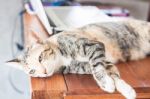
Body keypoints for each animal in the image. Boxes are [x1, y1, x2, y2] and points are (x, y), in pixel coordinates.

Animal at [6, 19, 150, 98]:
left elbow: (97, 68)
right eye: (32, 71)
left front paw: (107, 84)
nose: (45, 73)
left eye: (40, 57)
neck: (61, 58)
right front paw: (125, 89)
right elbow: (112, 74)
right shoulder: (89, 65)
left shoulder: (94, 46)